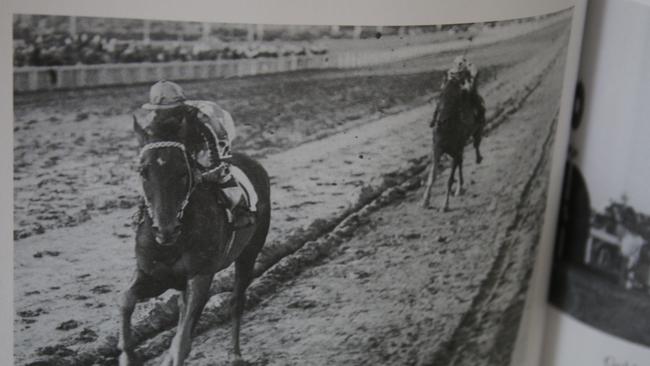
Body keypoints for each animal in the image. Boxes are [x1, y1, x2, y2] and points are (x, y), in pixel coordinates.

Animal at [117, 115, 270, 366]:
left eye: (182, 172)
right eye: (143, 171)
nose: (166, 229)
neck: (172, 244)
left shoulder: (200, 276)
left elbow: (182, 341)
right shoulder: (153, 275)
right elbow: (125, 299)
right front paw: (128, 354)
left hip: (249, 253)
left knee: (236, 301)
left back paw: (235, 354)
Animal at [418, 72, 484, 210]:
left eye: (457, 96)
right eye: (440, 94)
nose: (440, 120)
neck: (447, 129)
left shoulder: (456, 148)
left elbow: (449, 179)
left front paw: (445, 205)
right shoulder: (437, 149)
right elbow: (432, 176)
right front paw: (425, 201)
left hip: (474, 133)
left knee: (475, 144)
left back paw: (478, 158)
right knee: (460, 161)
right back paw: (459, 188)